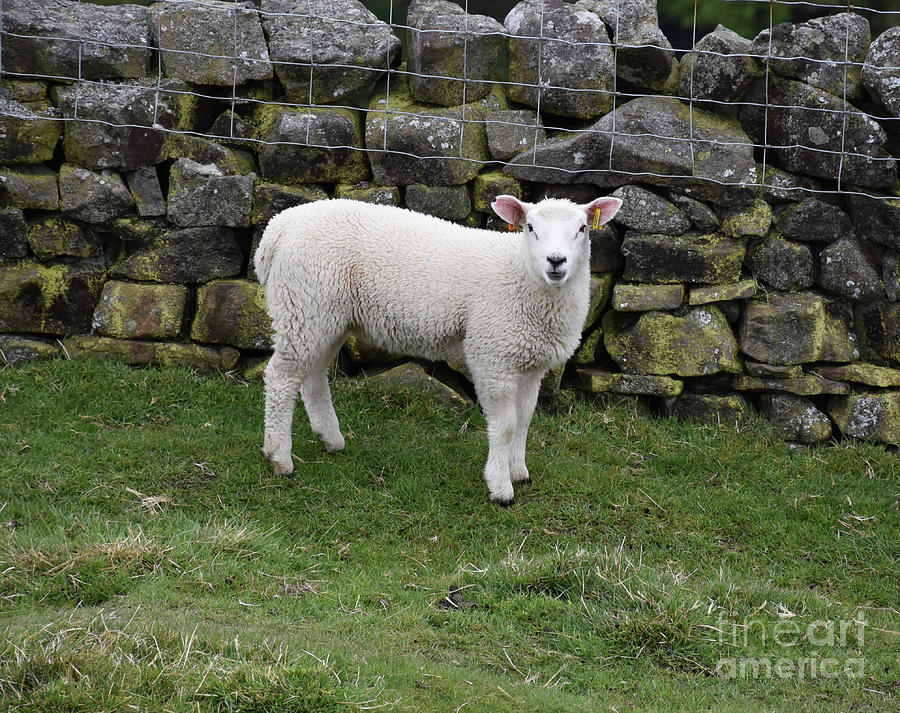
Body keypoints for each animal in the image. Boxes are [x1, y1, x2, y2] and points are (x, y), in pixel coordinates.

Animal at [253, 193, 620, 506]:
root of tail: (278, 229)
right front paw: (501, 487)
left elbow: (526, 419)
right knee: (282, 378)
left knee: (313, 375)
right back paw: (280, 457)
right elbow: (506, 426)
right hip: (304, 304)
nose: (556, 262)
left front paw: (519, 472)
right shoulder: (492, 355)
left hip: (326, 316)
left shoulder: (530, 363)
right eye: (530, 227)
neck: (520, 274)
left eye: (582, 228)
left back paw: (331, 439)